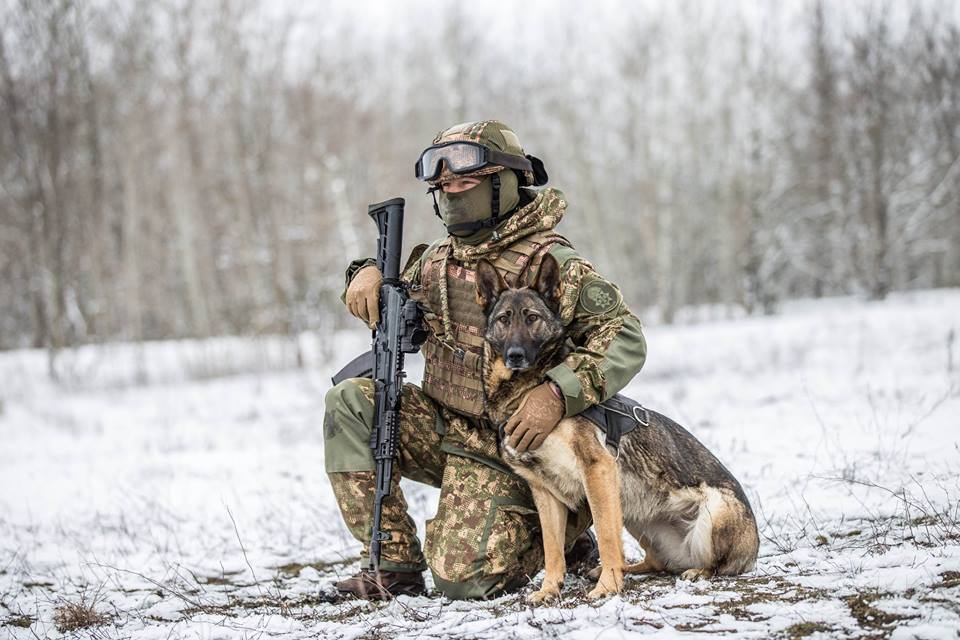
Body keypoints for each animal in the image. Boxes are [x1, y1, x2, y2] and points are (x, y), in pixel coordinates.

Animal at [472, 252, 756, 604]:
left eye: (532, 318)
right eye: (504, 319)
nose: (515, 355)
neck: (526, 388)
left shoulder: (598, 469)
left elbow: (607, 536)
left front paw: (608, 587)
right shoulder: (545, 492)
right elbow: (553, 549)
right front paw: (549, 589)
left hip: (712, 513)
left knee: (717, 564)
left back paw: (695, 571)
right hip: (636, 514)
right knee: (658, 562)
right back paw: (626, 569)